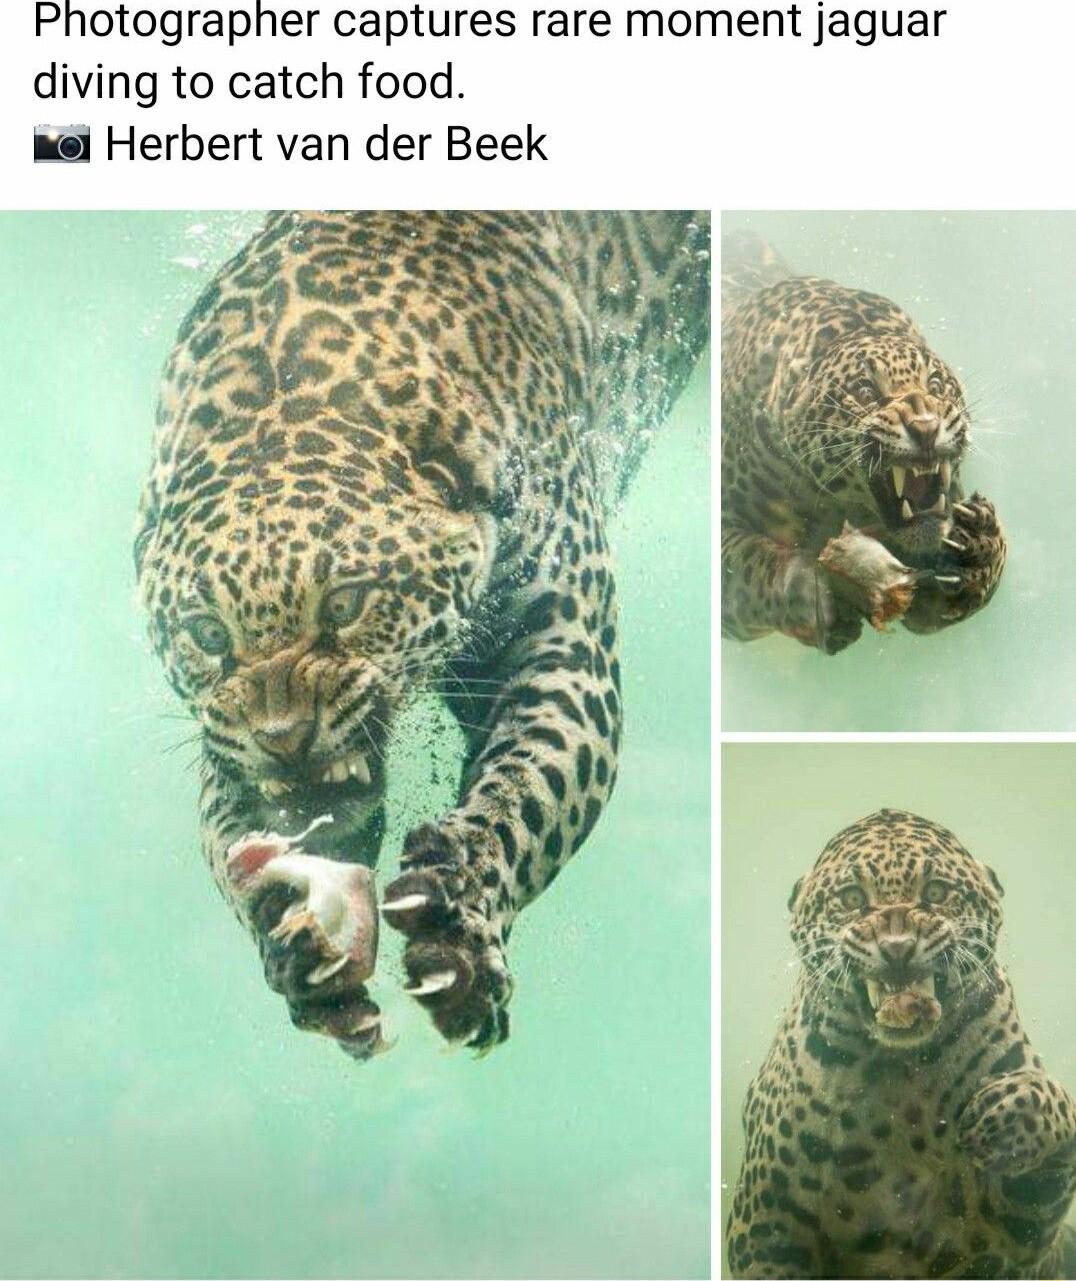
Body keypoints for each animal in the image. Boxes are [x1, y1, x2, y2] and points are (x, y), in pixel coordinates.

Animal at [135, 210, 710, 1058]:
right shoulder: (225, 738)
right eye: (207, 632)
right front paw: (296, 941)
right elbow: (231, 831)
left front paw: (459, 922)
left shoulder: (562, 650)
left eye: (345, 604)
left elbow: (528, 792)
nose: (283, 736)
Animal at [721, 231, 1007, 655]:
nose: (925, 427)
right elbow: (749, 564)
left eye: (935, 385)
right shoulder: (725, 526)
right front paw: (810, 591)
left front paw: (979, 549)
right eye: (866, 392)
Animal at [726, 808, 1076, 1280]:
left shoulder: (1013, 1236)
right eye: (852, 898)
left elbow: (1056, 1103)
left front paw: (1006, 1115)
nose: (896, 947)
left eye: (936, 892)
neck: (902, 1072)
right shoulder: (764, 1229)